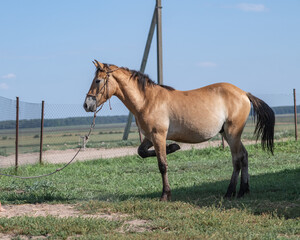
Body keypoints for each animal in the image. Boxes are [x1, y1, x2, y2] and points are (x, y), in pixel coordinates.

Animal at [83, 60, 276, 201]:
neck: (147, 100)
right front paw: (173, 147)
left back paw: (230, 192)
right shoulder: (150, 137)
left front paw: (165, 195)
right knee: (244, 156)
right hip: (229, 135)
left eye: (98, 80)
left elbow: (162, 165)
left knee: (237, 160)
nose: (87, 105)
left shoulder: (158, 136)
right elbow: (142, 152)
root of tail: (244, 93)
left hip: (232, 134)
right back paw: (244, 190)